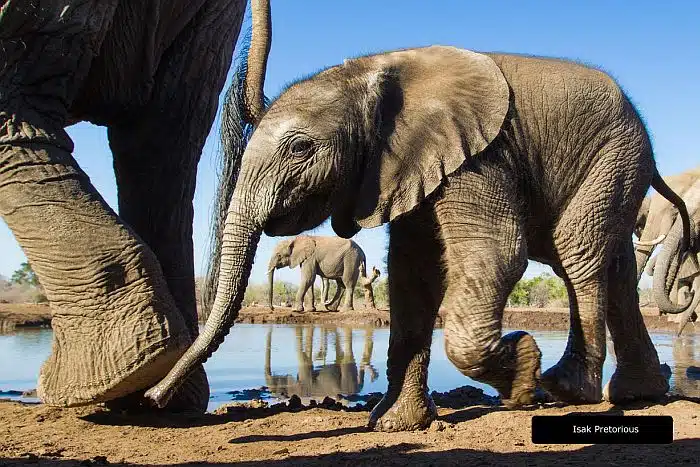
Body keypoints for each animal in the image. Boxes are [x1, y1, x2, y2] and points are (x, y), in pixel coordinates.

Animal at [145, 44, 696, 432]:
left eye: (300, 149)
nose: (154, 398)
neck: (372, 73)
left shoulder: (479, 155)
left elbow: (498, 252)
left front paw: (523, 373)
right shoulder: (403, 165)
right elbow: (413, 273)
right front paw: (395, 425)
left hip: (614, 155)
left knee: (577, 253)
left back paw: (566, 388)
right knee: (616, 268)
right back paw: (637, 394)